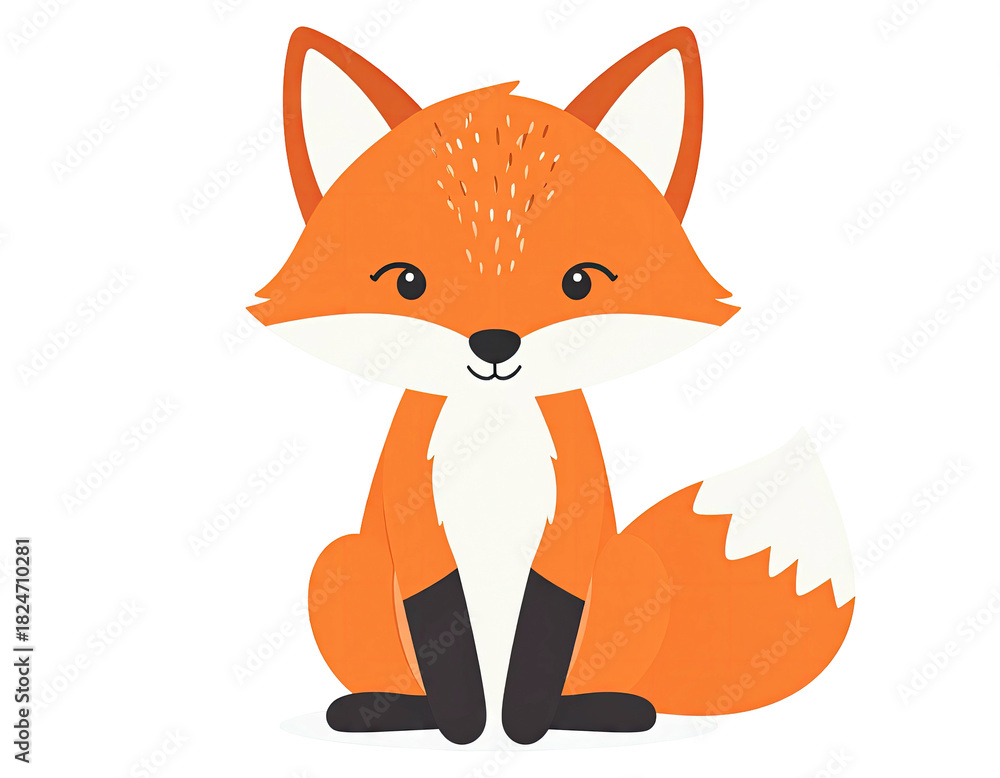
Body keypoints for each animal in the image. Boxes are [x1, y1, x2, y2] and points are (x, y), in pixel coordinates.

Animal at [248, 26, 855, 746]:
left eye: (579, 282)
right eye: (408, 282)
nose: (494, 343)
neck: (493, 429)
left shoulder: (573, 511)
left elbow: (548, 620)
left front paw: (523, 724)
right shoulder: (414, 512)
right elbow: (438, 620)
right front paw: (464, 725)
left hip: (632, 568)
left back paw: (604, 708)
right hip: (343, 563)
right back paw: (385, 710)